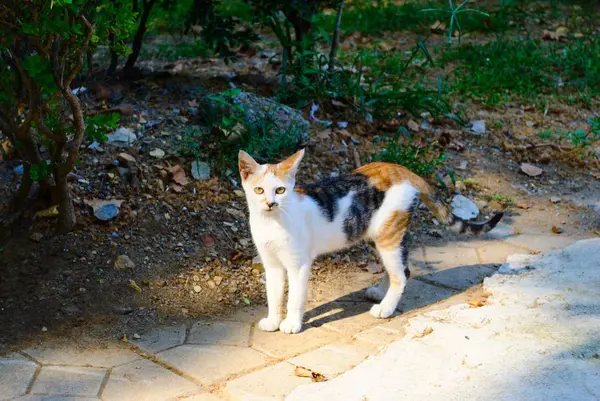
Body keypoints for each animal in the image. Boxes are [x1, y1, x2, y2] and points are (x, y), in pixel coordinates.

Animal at [239, 148, 502, 332]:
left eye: (280, 190)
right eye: (259, 190)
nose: (270, 203)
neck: (272, 222)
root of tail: (404, 170)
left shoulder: (298, 264)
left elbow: (294, 297)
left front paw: (292, 323)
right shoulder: (272, 265)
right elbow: (274, 296)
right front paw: (273, 321)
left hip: (388, 235)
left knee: (401, 275)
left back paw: (385, 307)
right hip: (372, 236)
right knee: (402, 269)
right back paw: (380, 293)